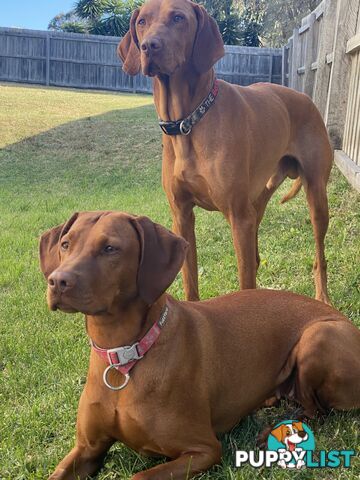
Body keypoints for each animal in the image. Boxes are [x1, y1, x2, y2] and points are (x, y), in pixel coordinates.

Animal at [39, 212, 360, 480]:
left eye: (110, 248)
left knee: (316, 411)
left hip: (318, 335)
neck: (124, 355)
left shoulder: (203, 449)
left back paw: (273, 432)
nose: (57, 281)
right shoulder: (87, 448)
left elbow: (139, 476)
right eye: (66, 244)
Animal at [119, 0, 334, 304]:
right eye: (142, 22)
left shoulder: (238, 216)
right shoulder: (182, 216)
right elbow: (190, 281)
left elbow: (245, 285)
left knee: (318, 253)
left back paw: (322, 296)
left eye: (178, 18)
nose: (150, 46)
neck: (189, 122)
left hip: (315, 195)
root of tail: (306, 98)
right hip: (258, 199)